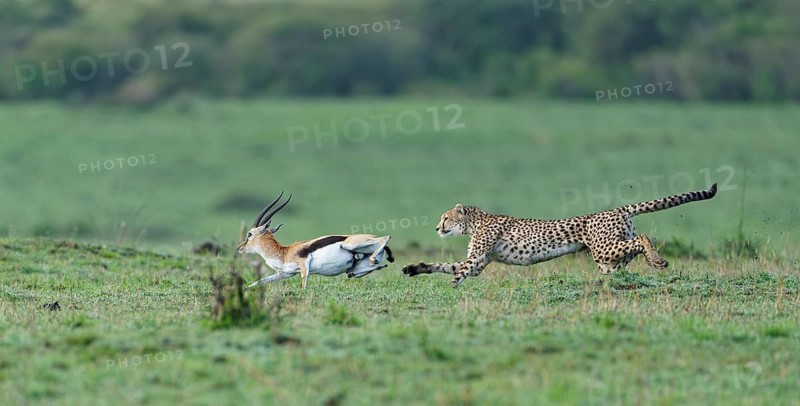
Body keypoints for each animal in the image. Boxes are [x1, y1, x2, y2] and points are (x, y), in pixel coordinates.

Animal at [402, 183, 717, 287]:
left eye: (445, 218)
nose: (437, 228)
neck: (475, 221)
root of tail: (616, 208)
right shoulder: (480, 262)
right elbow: (444, 266)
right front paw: (415, 268)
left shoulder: (477, 258)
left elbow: (458, 272)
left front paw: (451, 289)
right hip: (607, 260)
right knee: (630, 252)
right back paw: (652, 262)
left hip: (603, 250)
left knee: (642, 240)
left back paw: (658, 260)